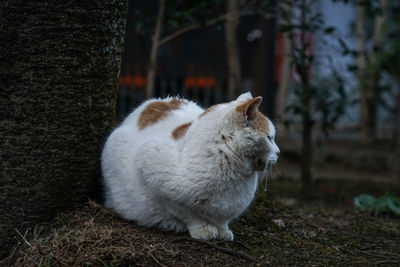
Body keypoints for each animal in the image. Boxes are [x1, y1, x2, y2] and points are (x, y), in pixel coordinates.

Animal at [101, 92, 280, 241]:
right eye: (269, 138)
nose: (278, 152)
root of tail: (156, 101)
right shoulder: (150, 165)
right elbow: (187, 213)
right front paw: (203, 230)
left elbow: (222, 220)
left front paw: (223, 231)